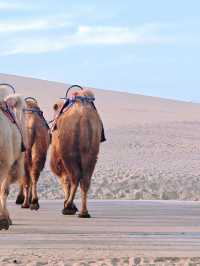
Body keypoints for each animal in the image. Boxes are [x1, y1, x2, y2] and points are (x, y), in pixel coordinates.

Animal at [50, 88, 103, 217]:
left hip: (68, 151)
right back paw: (84, 212)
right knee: (86, 178)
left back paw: (68, 207)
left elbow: (65, 179)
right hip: (92, 150)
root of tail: (83, 117)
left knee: (75, 176)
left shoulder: (58, 159)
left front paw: (69, 205)